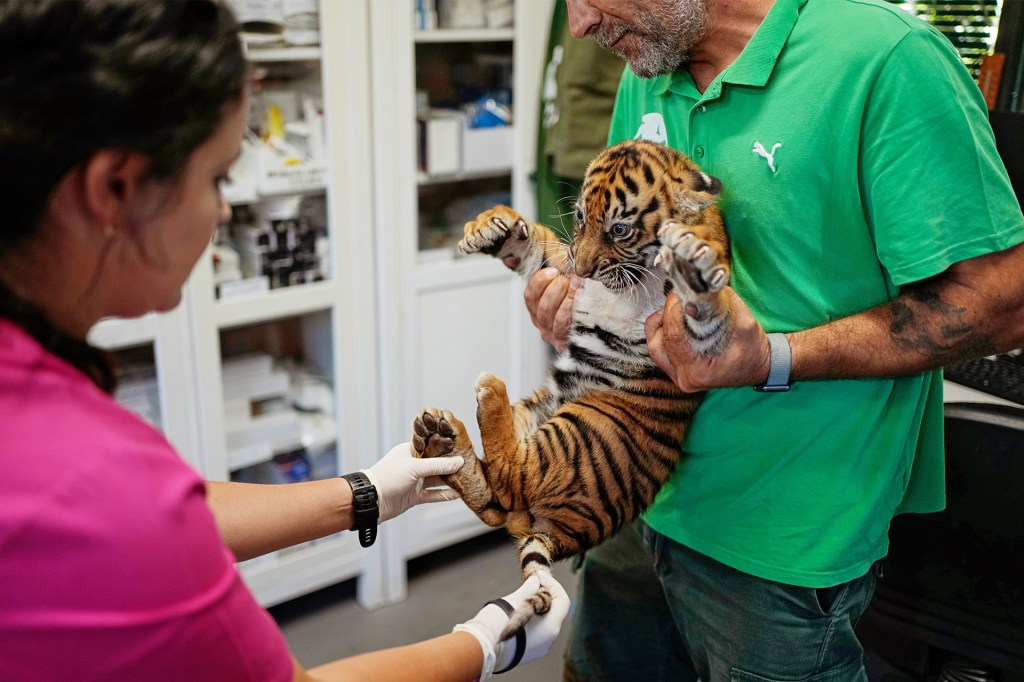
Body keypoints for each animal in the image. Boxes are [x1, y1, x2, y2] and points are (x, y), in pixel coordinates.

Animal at [411, 139, 732, 638]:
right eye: (580, 216)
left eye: (620, 229)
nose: (585, 268)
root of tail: (565, 534)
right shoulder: (565, 269)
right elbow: (540, 246)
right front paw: (492, 225)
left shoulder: (697, 347)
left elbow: (703, 309)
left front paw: (692, 262)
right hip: (541, 411)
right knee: (498, 502)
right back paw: (441, 436)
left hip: (584, 431)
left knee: (512, 478)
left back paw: (484, 394)